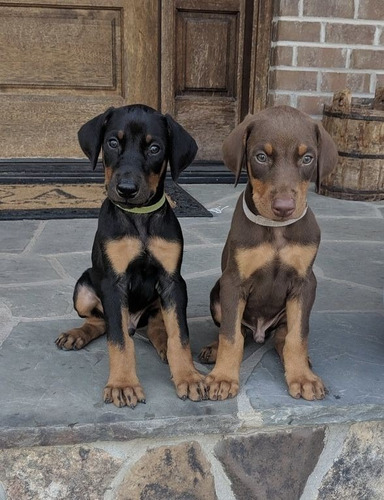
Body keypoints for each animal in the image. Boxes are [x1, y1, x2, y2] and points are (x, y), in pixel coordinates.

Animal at [55, 104, 206, 406]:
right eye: (113, 142)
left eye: (155, 148)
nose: (126, 190)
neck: (139, 217)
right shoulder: (114, 284)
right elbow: (119, 340)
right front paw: (123, 384)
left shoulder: (172, 282)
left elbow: (180, 336)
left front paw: (188, 376)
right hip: (84, 289)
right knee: (102, 321)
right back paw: (77, 334)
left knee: (157, 324)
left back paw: (162, 344)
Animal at [200, 105, 338, 402]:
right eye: (261, 156)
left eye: (307, 158)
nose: (284, 208)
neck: (276, 230)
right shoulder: (233, 282)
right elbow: (231, 336)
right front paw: (223, 377)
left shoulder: (305, 283)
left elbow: (298, 336)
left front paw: (302, 377)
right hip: (217, 291)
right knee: (235, 329)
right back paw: (213, 349)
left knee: (282, 337)